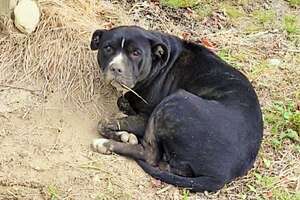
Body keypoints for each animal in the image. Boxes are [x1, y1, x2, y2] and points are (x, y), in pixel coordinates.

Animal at [89, 25, 262, 191]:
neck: (158, 64)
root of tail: (221, 177)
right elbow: (121, 104)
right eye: (108, 48)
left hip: (175, 101)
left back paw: (105, 144)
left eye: (136, 53)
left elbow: (104, 123)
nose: (116, 68)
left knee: (151, 155)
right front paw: (125, 131)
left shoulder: (146, 118)